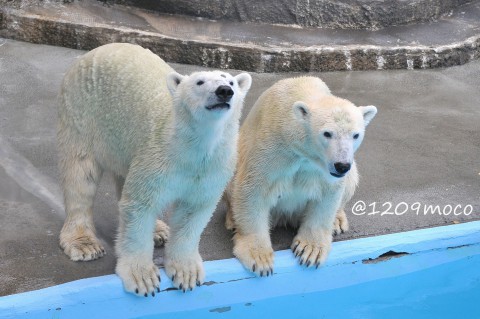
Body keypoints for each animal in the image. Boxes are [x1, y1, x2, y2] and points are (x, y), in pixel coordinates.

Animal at [57, 43, 251, 296]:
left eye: (231, 82)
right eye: (199, 82)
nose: (224, 91)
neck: (191, 148)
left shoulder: (212, 168)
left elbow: (193, 212)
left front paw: (186, 272)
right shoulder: (158, 156)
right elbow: (139, 206)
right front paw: (142, 278)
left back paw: (159, 231)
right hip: (82, 111)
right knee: (81, 175)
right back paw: (84, 244)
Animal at [225, 76, 376, 276]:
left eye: (356, 135)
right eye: (327, 133)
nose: (342, 165)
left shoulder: (323, 168)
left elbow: (328, 193)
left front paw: (309, 250)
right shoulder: (271, 148)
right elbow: (253, 188)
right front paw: (259, 257)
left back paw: (337, 221)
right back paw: (232, 220)